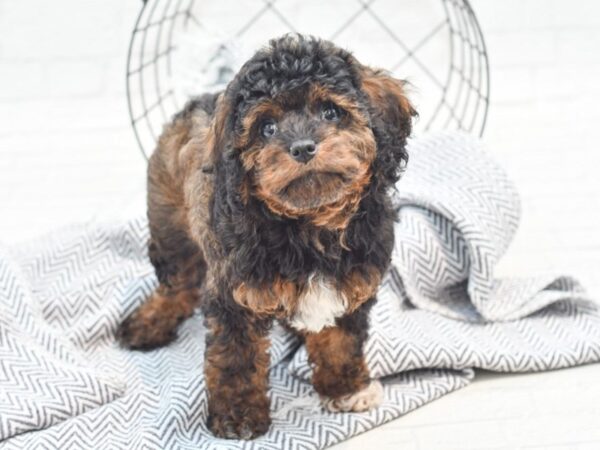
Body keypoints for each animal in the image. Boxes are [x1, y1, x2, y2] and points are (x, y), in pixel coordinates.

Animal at [118, 34, 418, 440]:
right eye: (268, 128)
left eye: (330, 112)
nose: (303, 147)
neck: (310, 224)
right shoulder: (234, 296)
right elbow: (237, 356)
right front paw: (239, 413)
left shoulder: (352, 284)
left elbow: (341, 340)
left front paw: (347, 388)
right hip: (170, 220)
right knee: (177, 280)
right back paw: (149, 321)